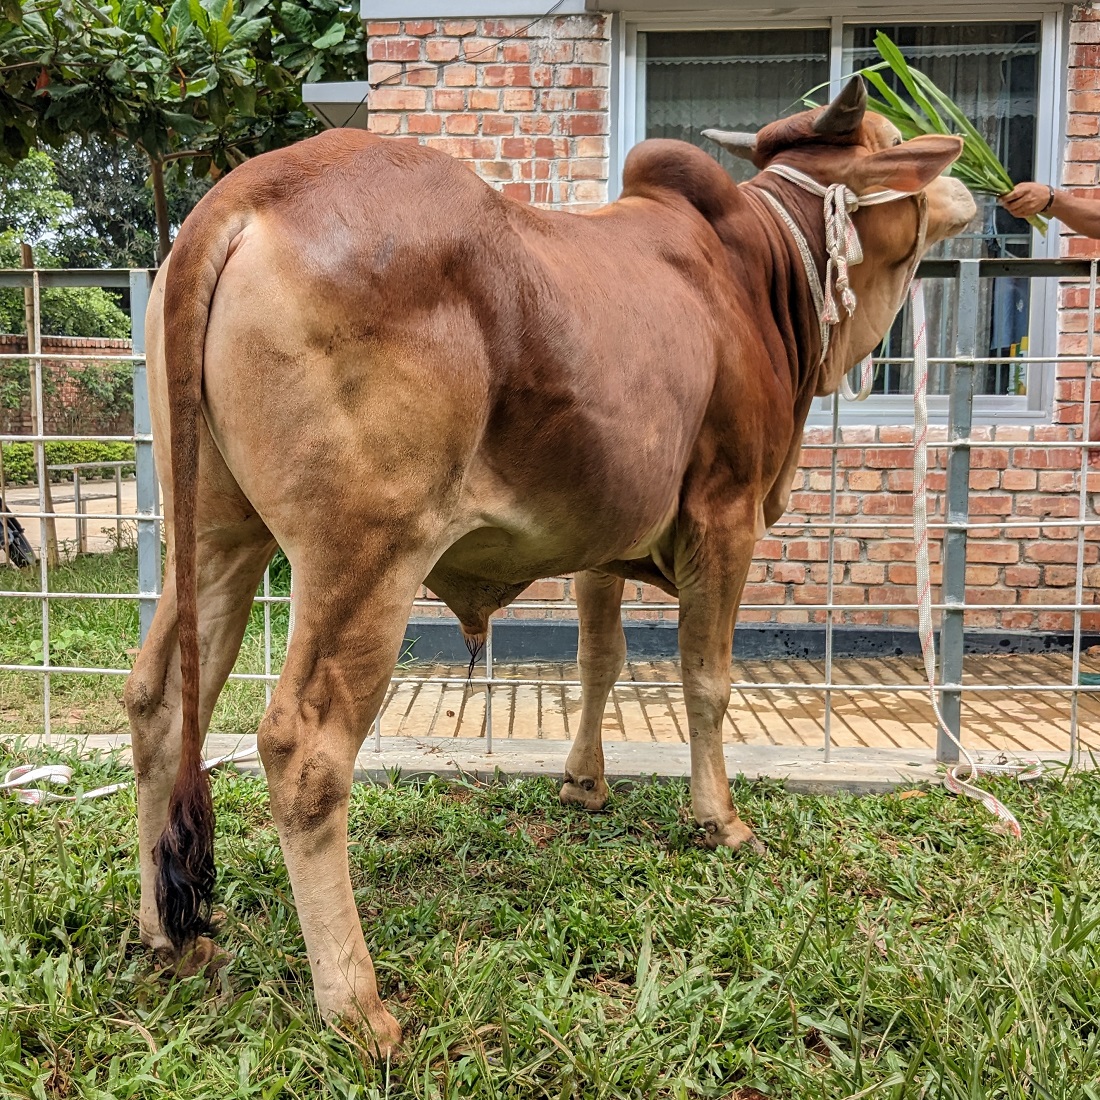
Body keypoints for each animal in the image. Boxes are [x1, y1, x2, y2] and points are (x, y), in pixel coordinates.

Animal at [124, 77, 976, 1047]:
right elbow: (707, 678)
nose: (969, 189)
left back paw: (167, 933)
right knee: (304, 746)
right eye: (892, 141)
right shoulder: (725, 515)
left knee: (157, 698)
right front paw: (719, 818)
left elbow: (599, 660)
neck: (761, 277)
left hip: (217, 533)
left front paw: (584, 783)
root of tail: (245, 191)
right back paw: (357, 1004)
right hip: (365, 555)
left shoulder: (602, 540)